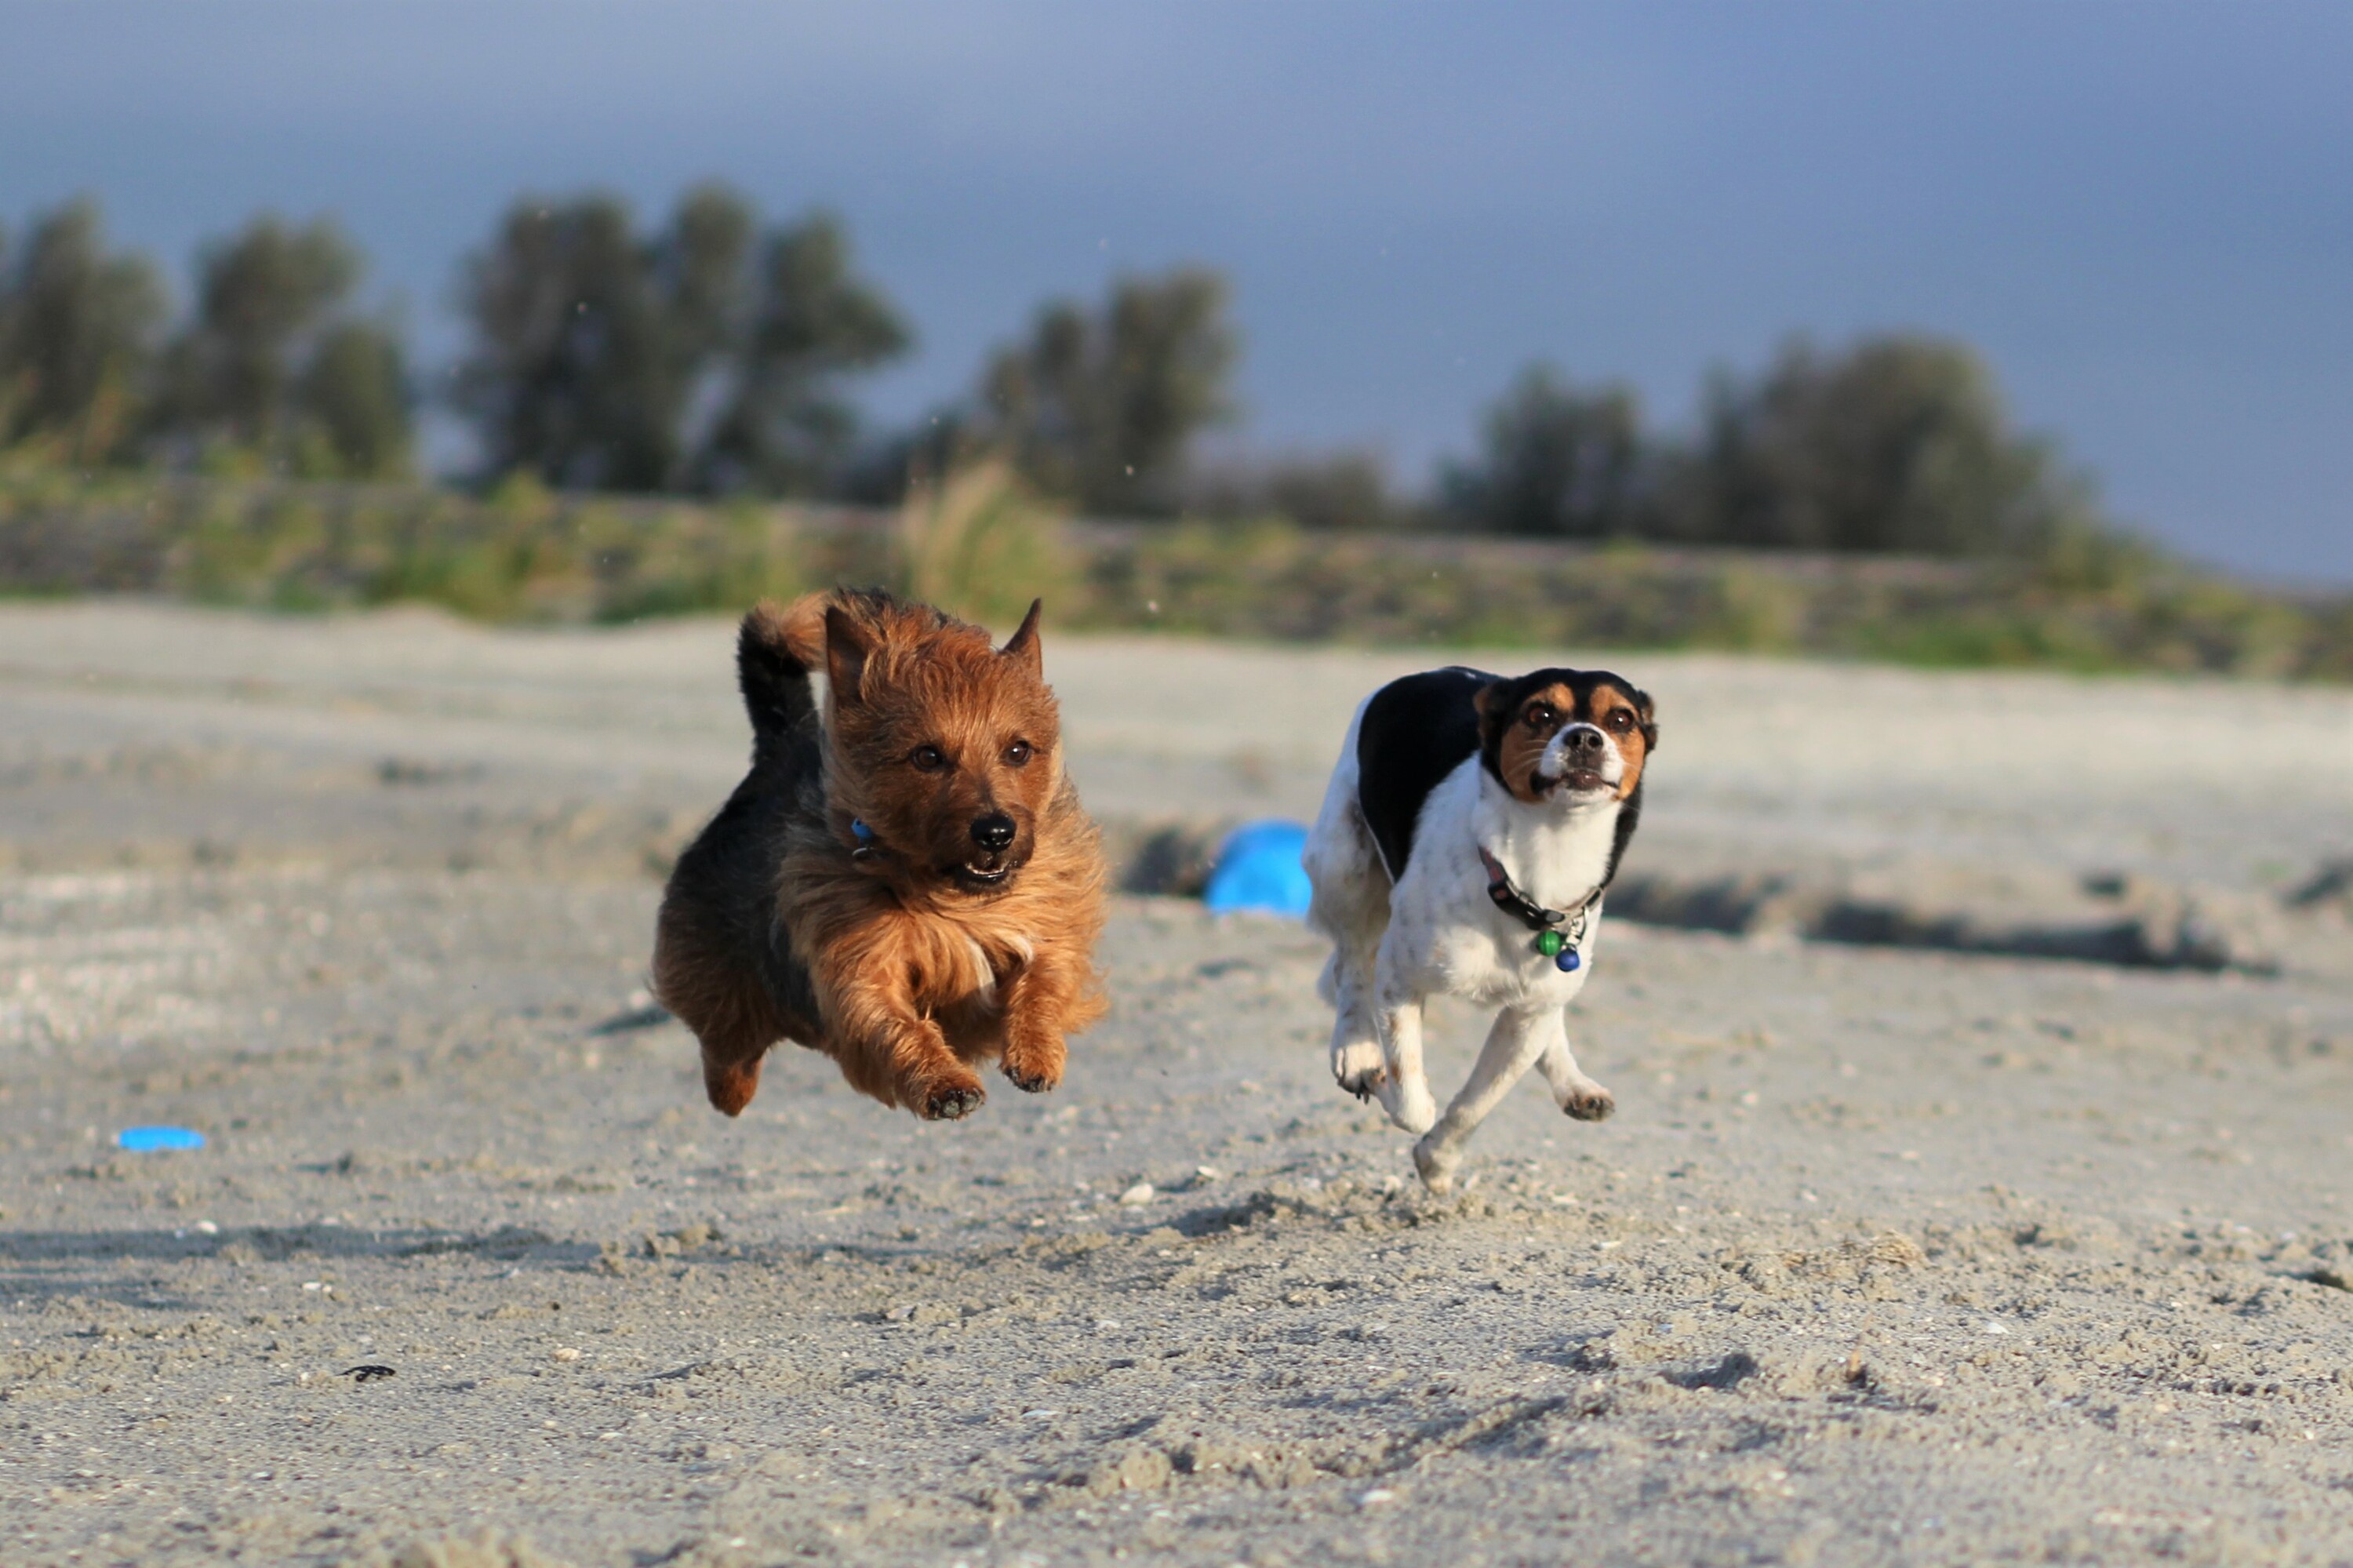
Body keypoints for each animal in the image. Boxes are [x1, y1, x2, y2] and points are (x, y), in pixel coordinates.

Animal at [654, 584, 1111, 1111]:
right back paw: (731, 1088)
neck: (957, 899)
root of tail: (782, 749)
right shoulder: (860, 970)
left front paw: (1036, 1051)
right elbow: (893, 1022)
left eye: (1018, 750)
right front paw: (944, 1082)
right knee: (727, 1043)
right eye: (928, 757)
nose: (997, 833)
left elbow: (1045, 979)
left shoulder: (1048, 921)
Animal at [1308, 659, 1657, 1186]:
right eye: (1541, 713)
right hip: (1342, 866)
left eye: (1620, 719)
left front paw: (1437, 1161)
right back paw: (1356, 1051)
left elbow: (1478, 1102)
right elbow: (1413, 1104)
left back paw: (1573, 1083)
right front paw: (1382, 1079)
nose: (1585, 737)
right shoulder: (1398, 979)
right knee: (1350, 962)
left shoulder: (1529, 1014)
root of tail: (1437, 669)